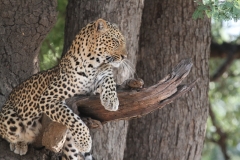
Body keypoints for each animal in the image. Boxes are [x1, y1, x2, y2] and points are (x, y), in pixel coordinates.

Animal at [0, 18, 127, 159]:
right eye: (115, 41)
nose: (125, 56)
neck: (93, 65)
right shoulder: (47, 99)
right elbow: (71, 118)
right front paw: (84, 142)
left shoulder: (100, 79)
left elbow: (110, 79)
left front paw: (111, 101)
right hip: (10, 118)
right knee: (9, 134)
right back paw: (19, 144)